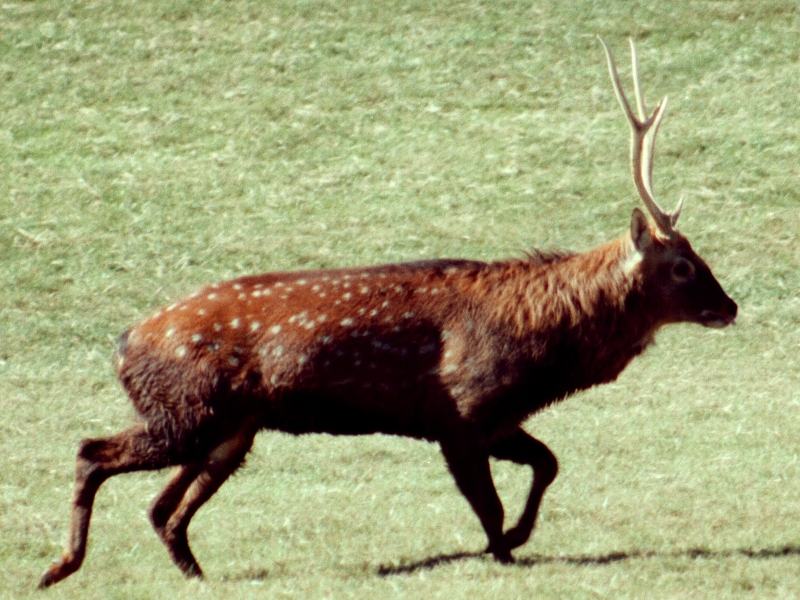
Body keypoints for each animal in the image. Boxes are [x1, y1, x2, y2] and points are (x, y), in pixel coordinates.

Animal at [39, 38, 736, 584]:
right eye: (682, 265)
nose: (729, 306)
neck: (542, 350)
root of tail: (122, 342)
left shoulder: (498, 417)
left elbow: (549, 463)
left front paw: (517, 539)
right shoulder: (459, 410)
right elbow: (488, 503)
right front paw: (503, 549)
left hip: (231, 426)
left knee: (164, 509)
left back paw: (193, 573)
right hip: (186, 410)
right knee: (92, 452)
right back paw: (59, 566)